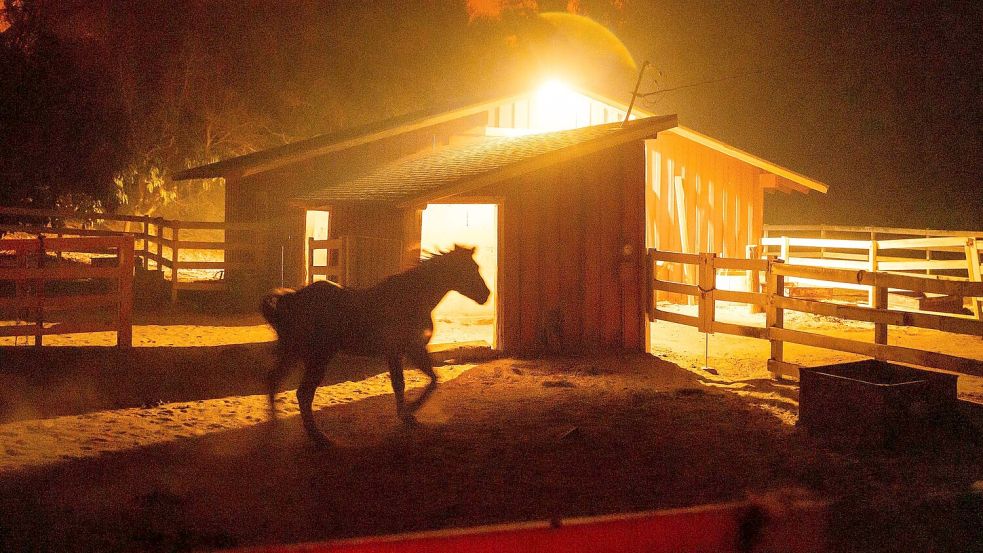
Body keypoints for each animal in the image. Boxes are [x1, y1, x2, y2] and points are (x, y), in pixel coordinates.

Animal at [262, 244, 492, 446]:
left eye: (476, 267)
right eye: (470, 268)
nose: (486, 296)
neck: (412, 298)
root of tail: (291, 298)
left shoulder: (405, 352)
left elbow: (421, 381)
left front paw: (407, 415)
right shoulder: (408, 350)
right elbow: (418, 382)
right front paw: (410, 410)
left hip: (293, 353)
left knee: (274, 380)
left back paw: (276, 425)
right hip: (318, 357)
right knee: (302, 394)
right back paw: (320, 438)